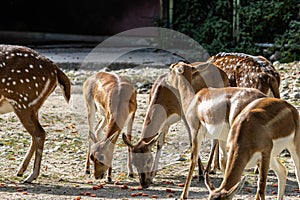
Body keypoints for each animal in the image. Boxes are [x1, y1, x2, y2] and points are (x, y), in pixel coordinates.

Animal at [0, 44, 71, 184]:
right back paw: (21, 171)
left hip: (23, 101)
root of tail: (55, 69)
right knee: (37, 134)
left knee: (39, 133)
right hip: (33, 106)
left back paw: (30, 176)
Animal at [166, 61, 270, 199]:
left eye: (172, 68)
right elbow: (224, 162)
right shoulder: (222, 138)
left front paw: (184, 195)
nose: (167, 81)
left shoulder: (195, 132)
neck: (194, 100)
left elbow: (193, 159)